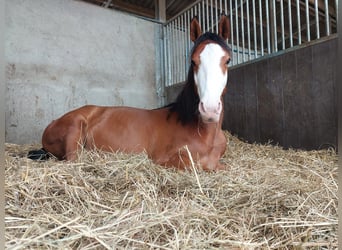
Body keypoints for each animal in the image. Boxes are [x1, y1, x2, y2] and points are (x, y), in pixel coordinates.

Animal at [28, 15, 232, 172]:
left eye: (228, 60)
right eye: (193, 61)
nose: (210, 109)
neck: (204, 134)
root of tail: (53, 123)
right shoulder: (165, 160)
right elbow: (201, 166)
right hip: (75, 128)